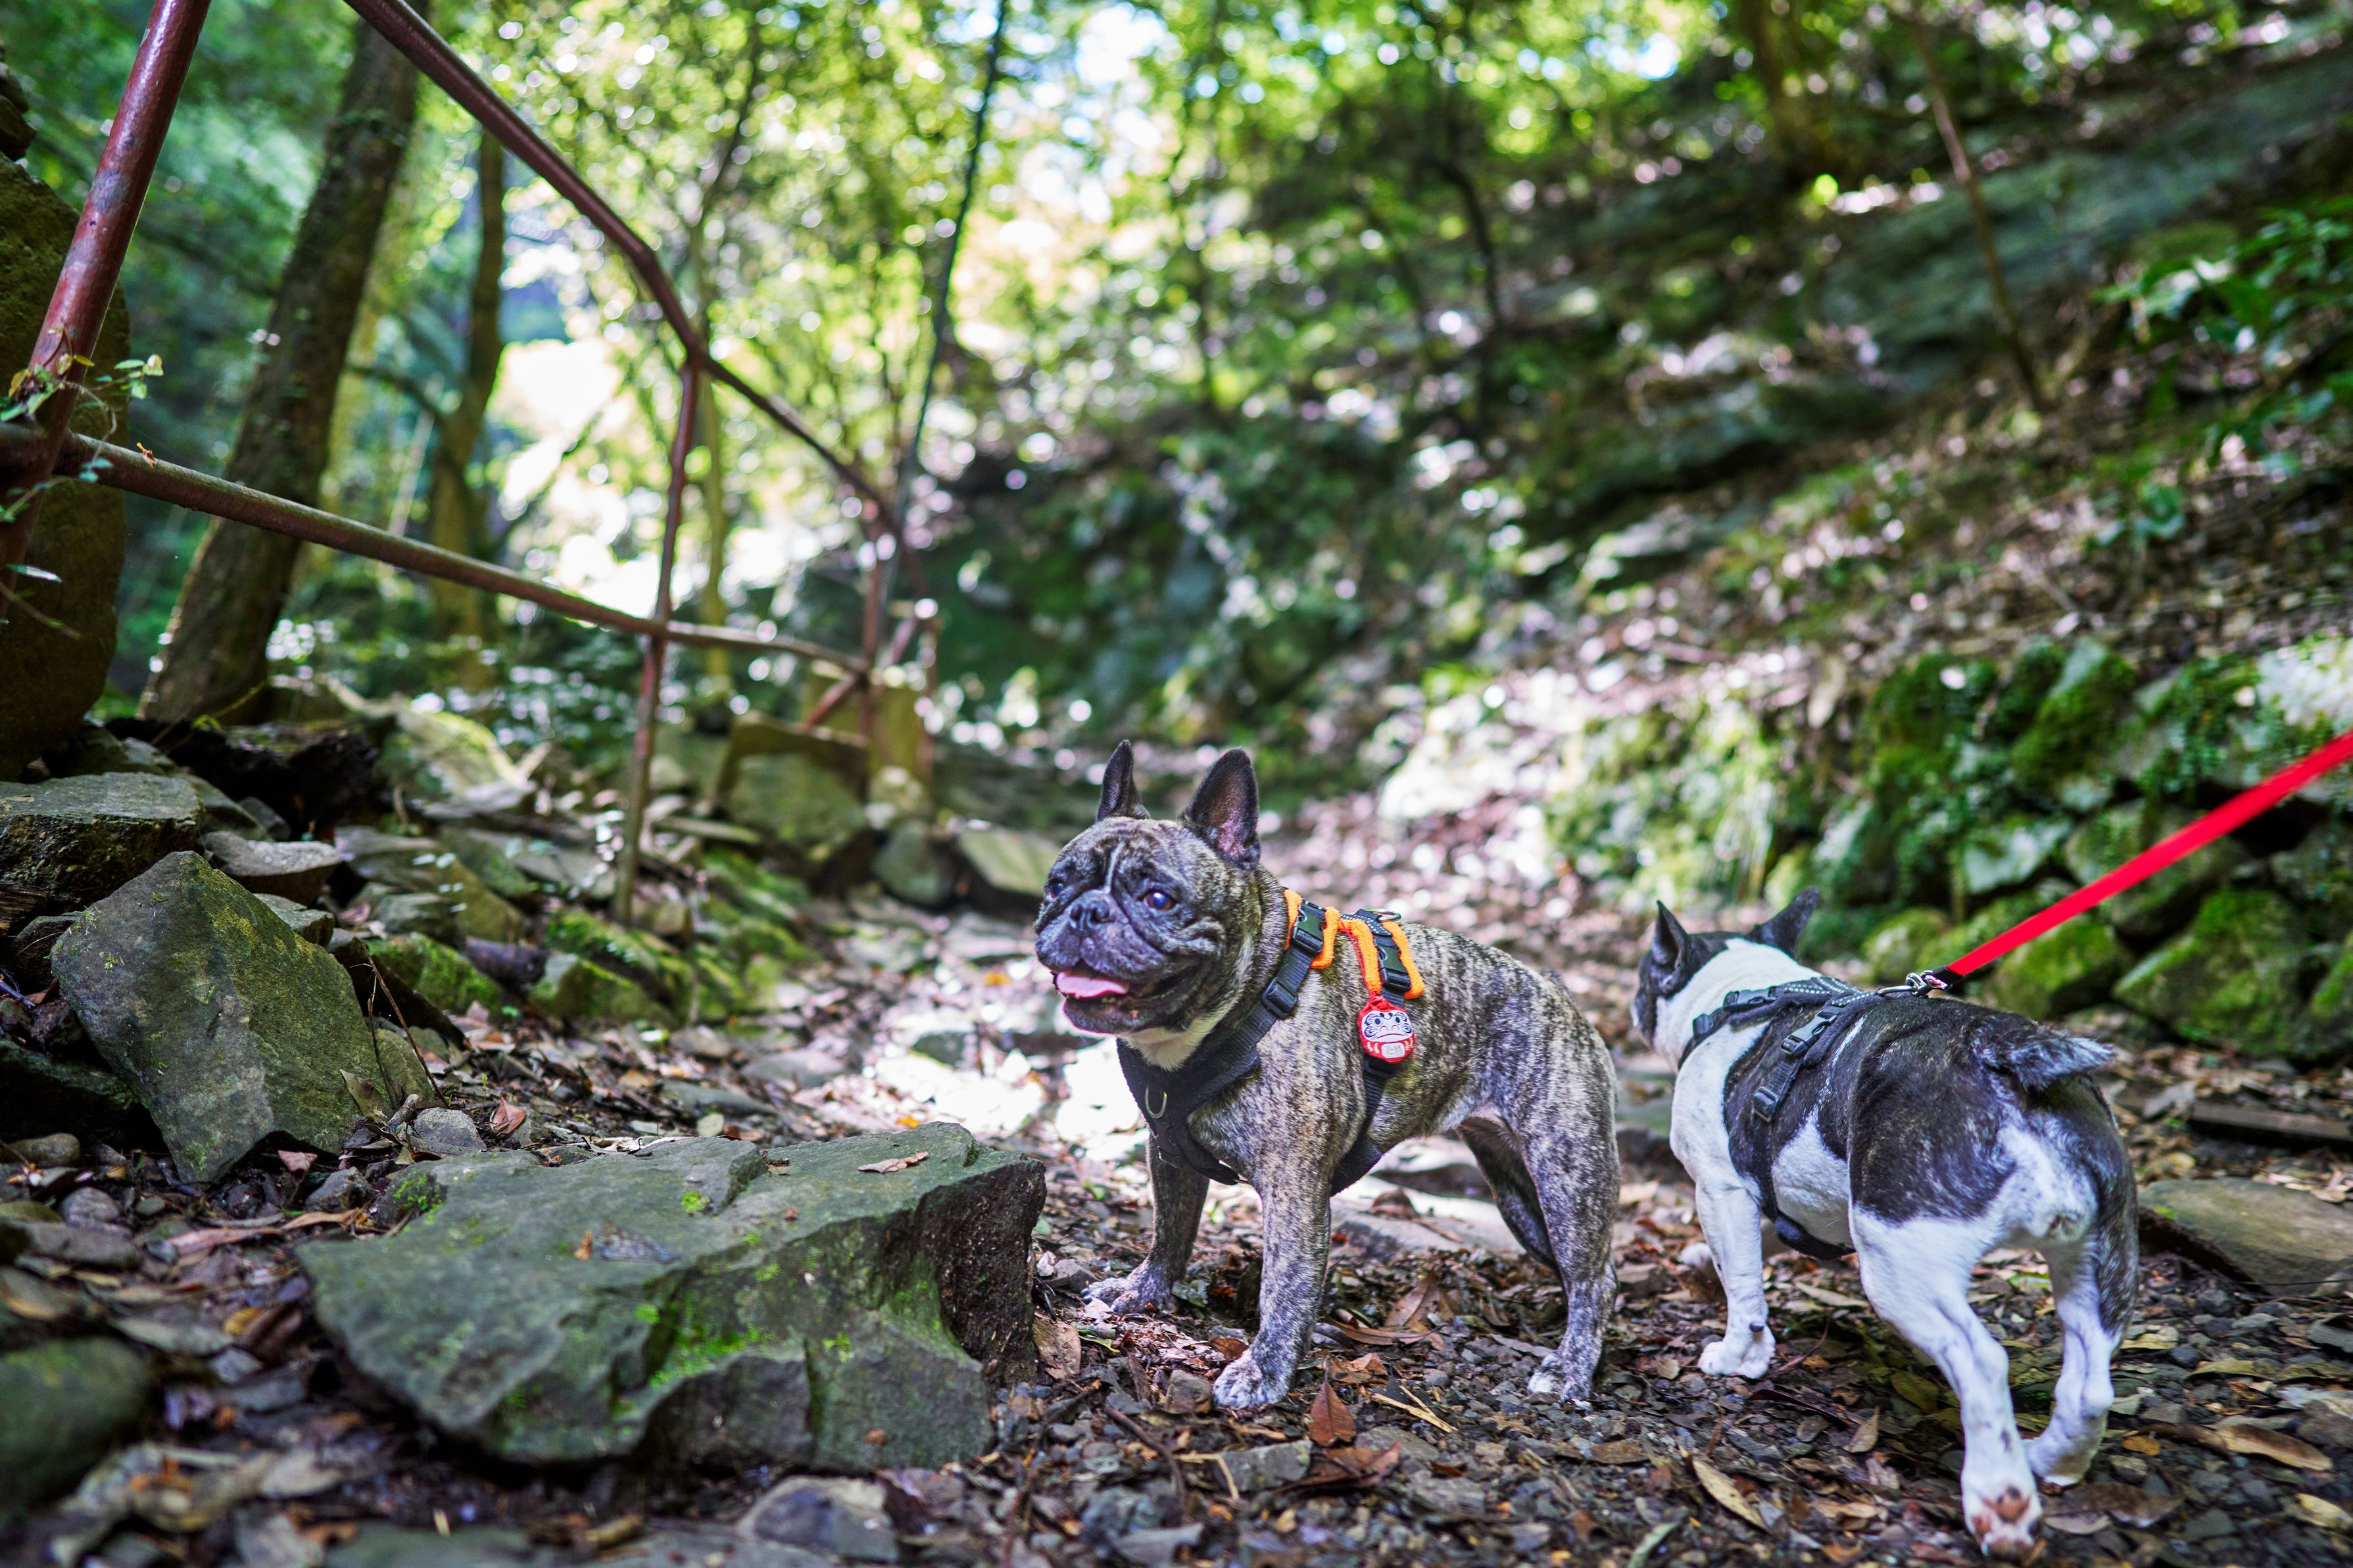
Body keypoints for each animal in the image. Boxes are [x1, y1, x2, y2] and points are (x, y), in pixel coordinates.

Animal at [1035, 742, 1620, 1409]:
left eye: (1159, 898)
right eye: (1057, 885)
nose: (1085, 909)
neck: (1249, 992)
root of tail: (1555, 988)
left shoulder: (1294, 1191)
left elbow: (1284, 1284)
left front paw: (1263, 1369)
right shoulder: (1171, 1154)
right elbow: (1171, 1230)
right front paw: (1144, 1290)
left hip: (1566, 1174)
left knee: (1595, 1276)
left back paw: (1571, 1366)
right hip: (1518, 1193)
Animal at [1632, 889, 2136, 1559]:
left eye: (1646, 974)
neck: (1744, 990)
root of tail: (2005, 1063)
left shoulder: (1720, 1188)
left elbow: (1743, 1286)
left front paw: (1739, 1356)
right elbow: (1755, 1245)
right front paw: (1697, 1263)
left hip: (1897, 1255)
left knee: (1981, 1360)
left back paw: (2000, 1502)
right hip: (2101, 1252)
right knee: (2089, 1379)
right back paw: (2054, 1461)